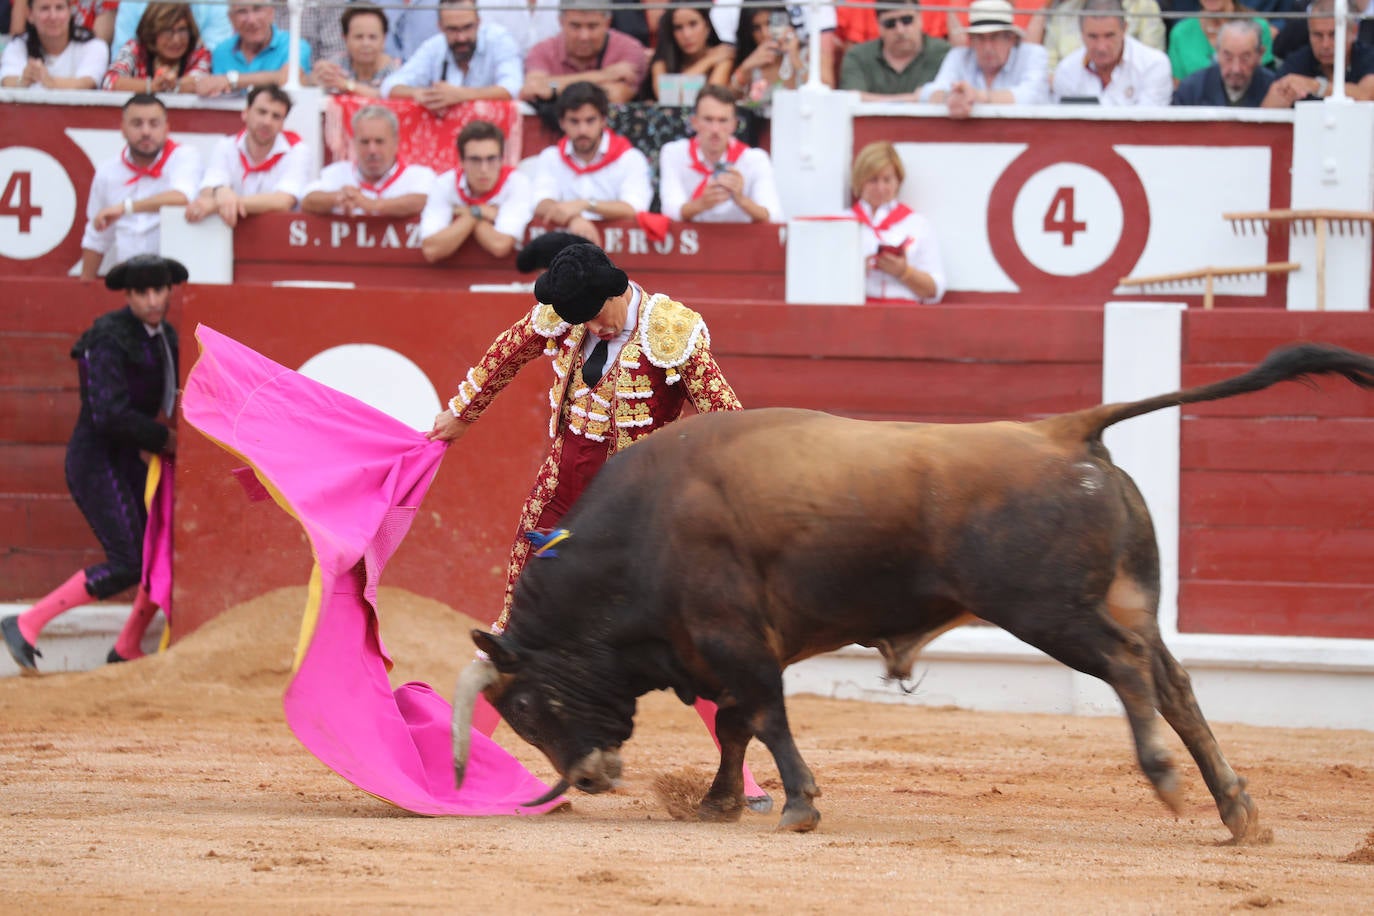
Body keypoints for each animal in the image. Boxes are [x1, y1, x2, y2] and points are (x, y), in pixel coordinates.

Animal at [453, 343, 1374, 840]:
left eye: (525, 706)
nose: (588, 777)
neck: (635, 536)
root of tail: (1063, 430)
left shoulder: (734, 640)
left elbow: (764, 719)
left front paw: (799, 807)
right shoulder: (717, 650)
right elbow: (739, 729)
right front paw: (718, 806)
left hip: (1050, 611)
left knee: (1125, 670)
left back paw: (1166, 780)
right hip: (1125, 598)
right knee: (1174, 681)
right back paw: (1237, 810)